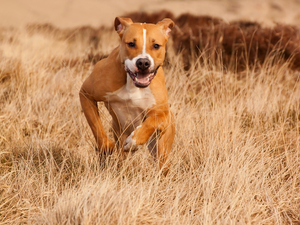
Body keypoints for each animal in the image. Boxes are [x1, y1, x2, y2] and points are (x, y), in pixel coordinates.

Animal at [79, 16, 175, 174]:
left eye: (156, 45)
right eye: (131, 43)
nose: (143, 62)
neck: (132, 84)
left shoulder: (163, 114)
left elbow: (152, 122)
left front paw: (134, 142)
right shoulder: (86, 94)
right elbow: (96, 125)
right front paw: (106, 146)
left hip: (162, 149)